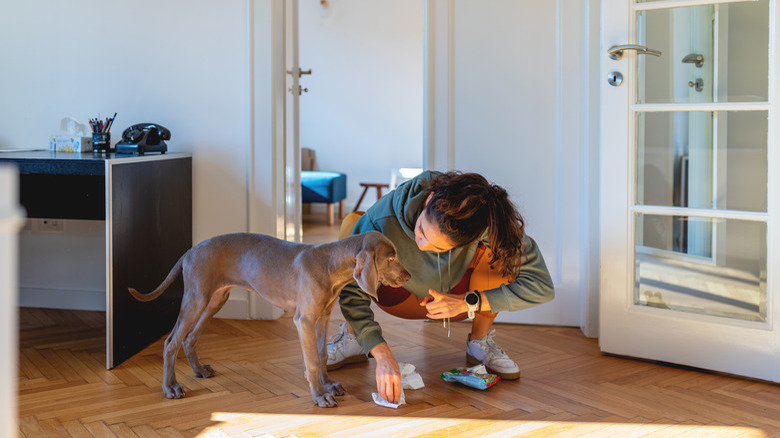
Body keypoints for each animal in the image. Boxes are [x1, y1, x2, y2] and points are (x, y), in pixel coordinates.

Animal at [126, 233, 408, 408]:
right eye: (391, 257)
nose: (408, 276)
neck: (329, 264)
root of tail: (190, 252)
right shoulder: (304, 320)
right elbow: (312, 361)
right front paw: (320, 396)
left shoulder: (322, 317)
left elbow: (322, 355)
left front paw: (329, 385)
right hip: (197, 298)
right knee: (171, 342)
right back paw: (171, 387)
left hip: (215, 299)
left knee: (190, 337)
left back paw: (199, 370)